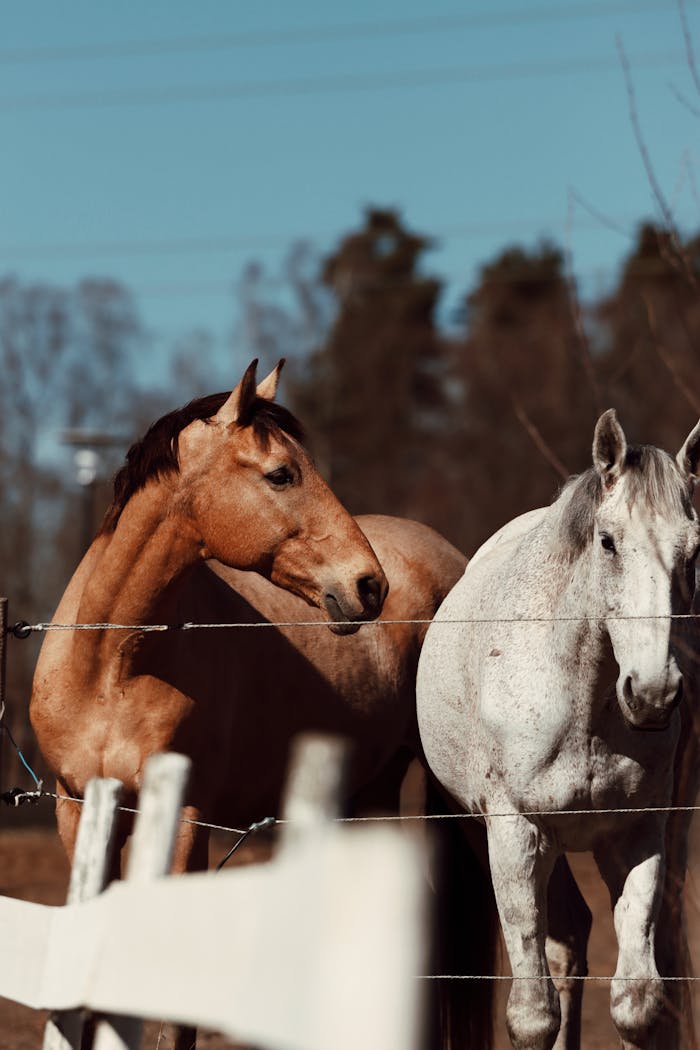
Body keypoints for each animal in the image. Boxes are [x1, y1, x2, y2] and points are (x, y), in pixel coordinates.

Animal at [29, 359, 471, 1047]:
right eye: (281, 473)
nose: (369, 586)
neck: (110, 665)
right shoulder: (76, 810)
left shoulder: (186, 822)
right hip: (367, 797)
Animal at [417, 409, 700, 1050]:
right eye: (608, 541)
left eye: (694, 551)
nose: (652, 693)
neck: (582, 705)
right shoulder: (515, 834)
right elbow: (532, 1014)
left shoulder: (638, 836)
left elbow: (637, 1003)